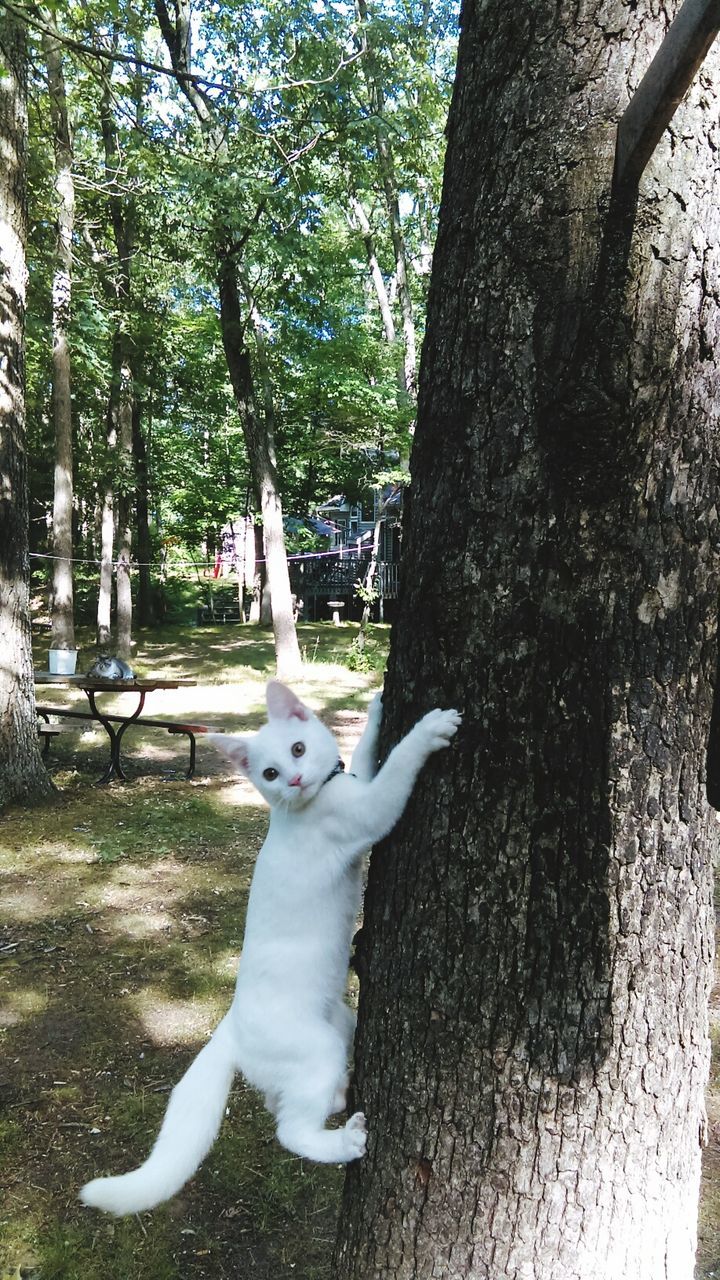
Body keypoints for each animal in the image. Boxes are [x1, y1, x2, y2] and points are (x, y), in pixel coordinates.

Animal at [79, 675, 458, 1213]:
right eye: (270, 773)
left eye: (298, 749)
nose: (295, 781)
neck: (321, 794)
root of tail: (233, 1026)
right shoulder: (370, 812)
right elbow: (398, 765)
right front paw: (430, 729)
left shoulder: (356, 783)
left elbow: (365, 754)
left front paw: (376, 708)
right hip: (317, 1049)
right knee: (289, 1132)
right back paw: (345, 1140)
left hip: (339, 1026)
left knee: (281, 1103)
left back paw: (340, 1097)